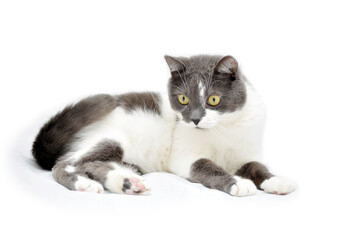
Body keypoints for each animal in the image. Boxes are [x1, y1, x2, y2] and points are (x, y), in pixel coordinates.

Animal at [33, 54, 296, 197]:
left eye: (213, 99)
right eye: (183, 99)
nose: (195, 119)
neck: (224, 128)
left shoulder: (246, 152)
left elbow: (257, 167)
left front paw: (276, 180)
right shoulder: (184, 157)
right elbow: (207, 167)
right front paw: (238, 183)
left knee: (94, 164)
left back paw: (128, 183)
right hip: (110, 137)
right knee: (66, 164)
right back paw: (86, 183)